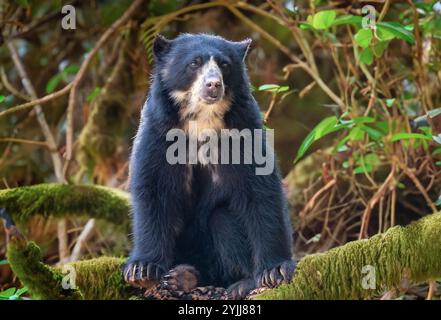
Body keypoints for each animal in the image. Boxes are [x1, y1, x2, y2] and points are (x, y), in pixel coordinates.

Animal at [124, 33, 294, 298]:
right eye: (195, 63)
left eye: (224, 64)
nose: (213, 85)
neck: (202, 117)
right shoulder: (158, 130)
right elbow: (153, 189)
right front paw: (142, 270)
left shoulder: (243, 129)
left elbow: (261, 190)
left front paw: (274, 271)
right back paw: (182, 276)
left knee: (222, 219)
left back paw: (237, 282)